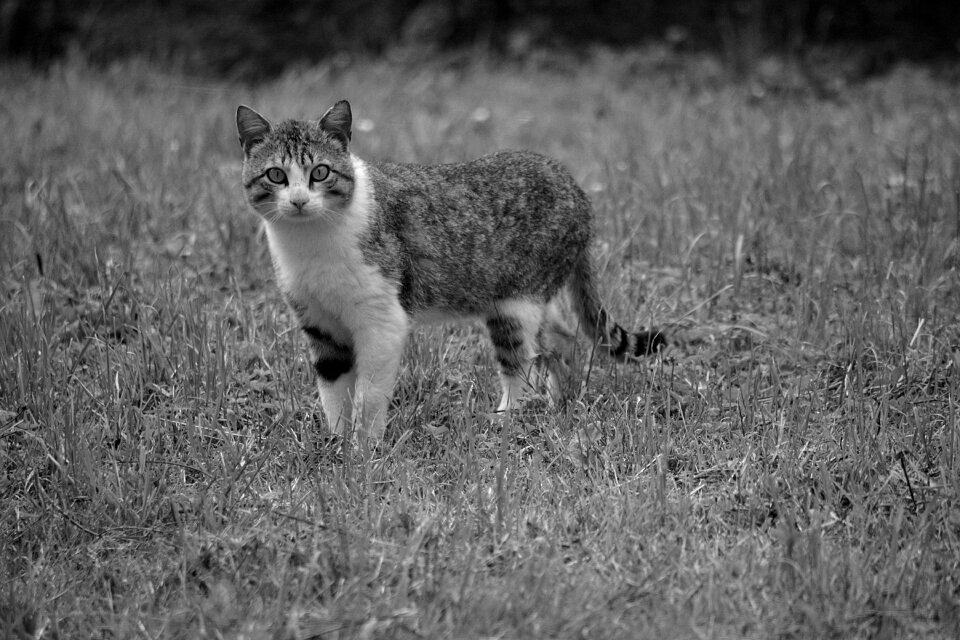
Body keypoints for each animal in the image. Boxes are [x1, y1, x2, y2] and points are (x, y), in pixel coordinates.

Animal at [236, 100, 664, 442]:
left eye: (320, 172)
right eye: (276, 175)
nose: (298, 200)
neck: (311, 243)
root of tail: (573, 185)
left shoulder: (382, 321)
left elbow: (369, 395)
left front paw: (364, 449)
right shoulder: (319, 325)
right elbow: (333, 392)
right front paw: (337, 443)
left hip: (515, 304)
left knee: (523, 364)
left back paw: (505, 418)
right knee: (563, 339)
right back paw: (563, 400)